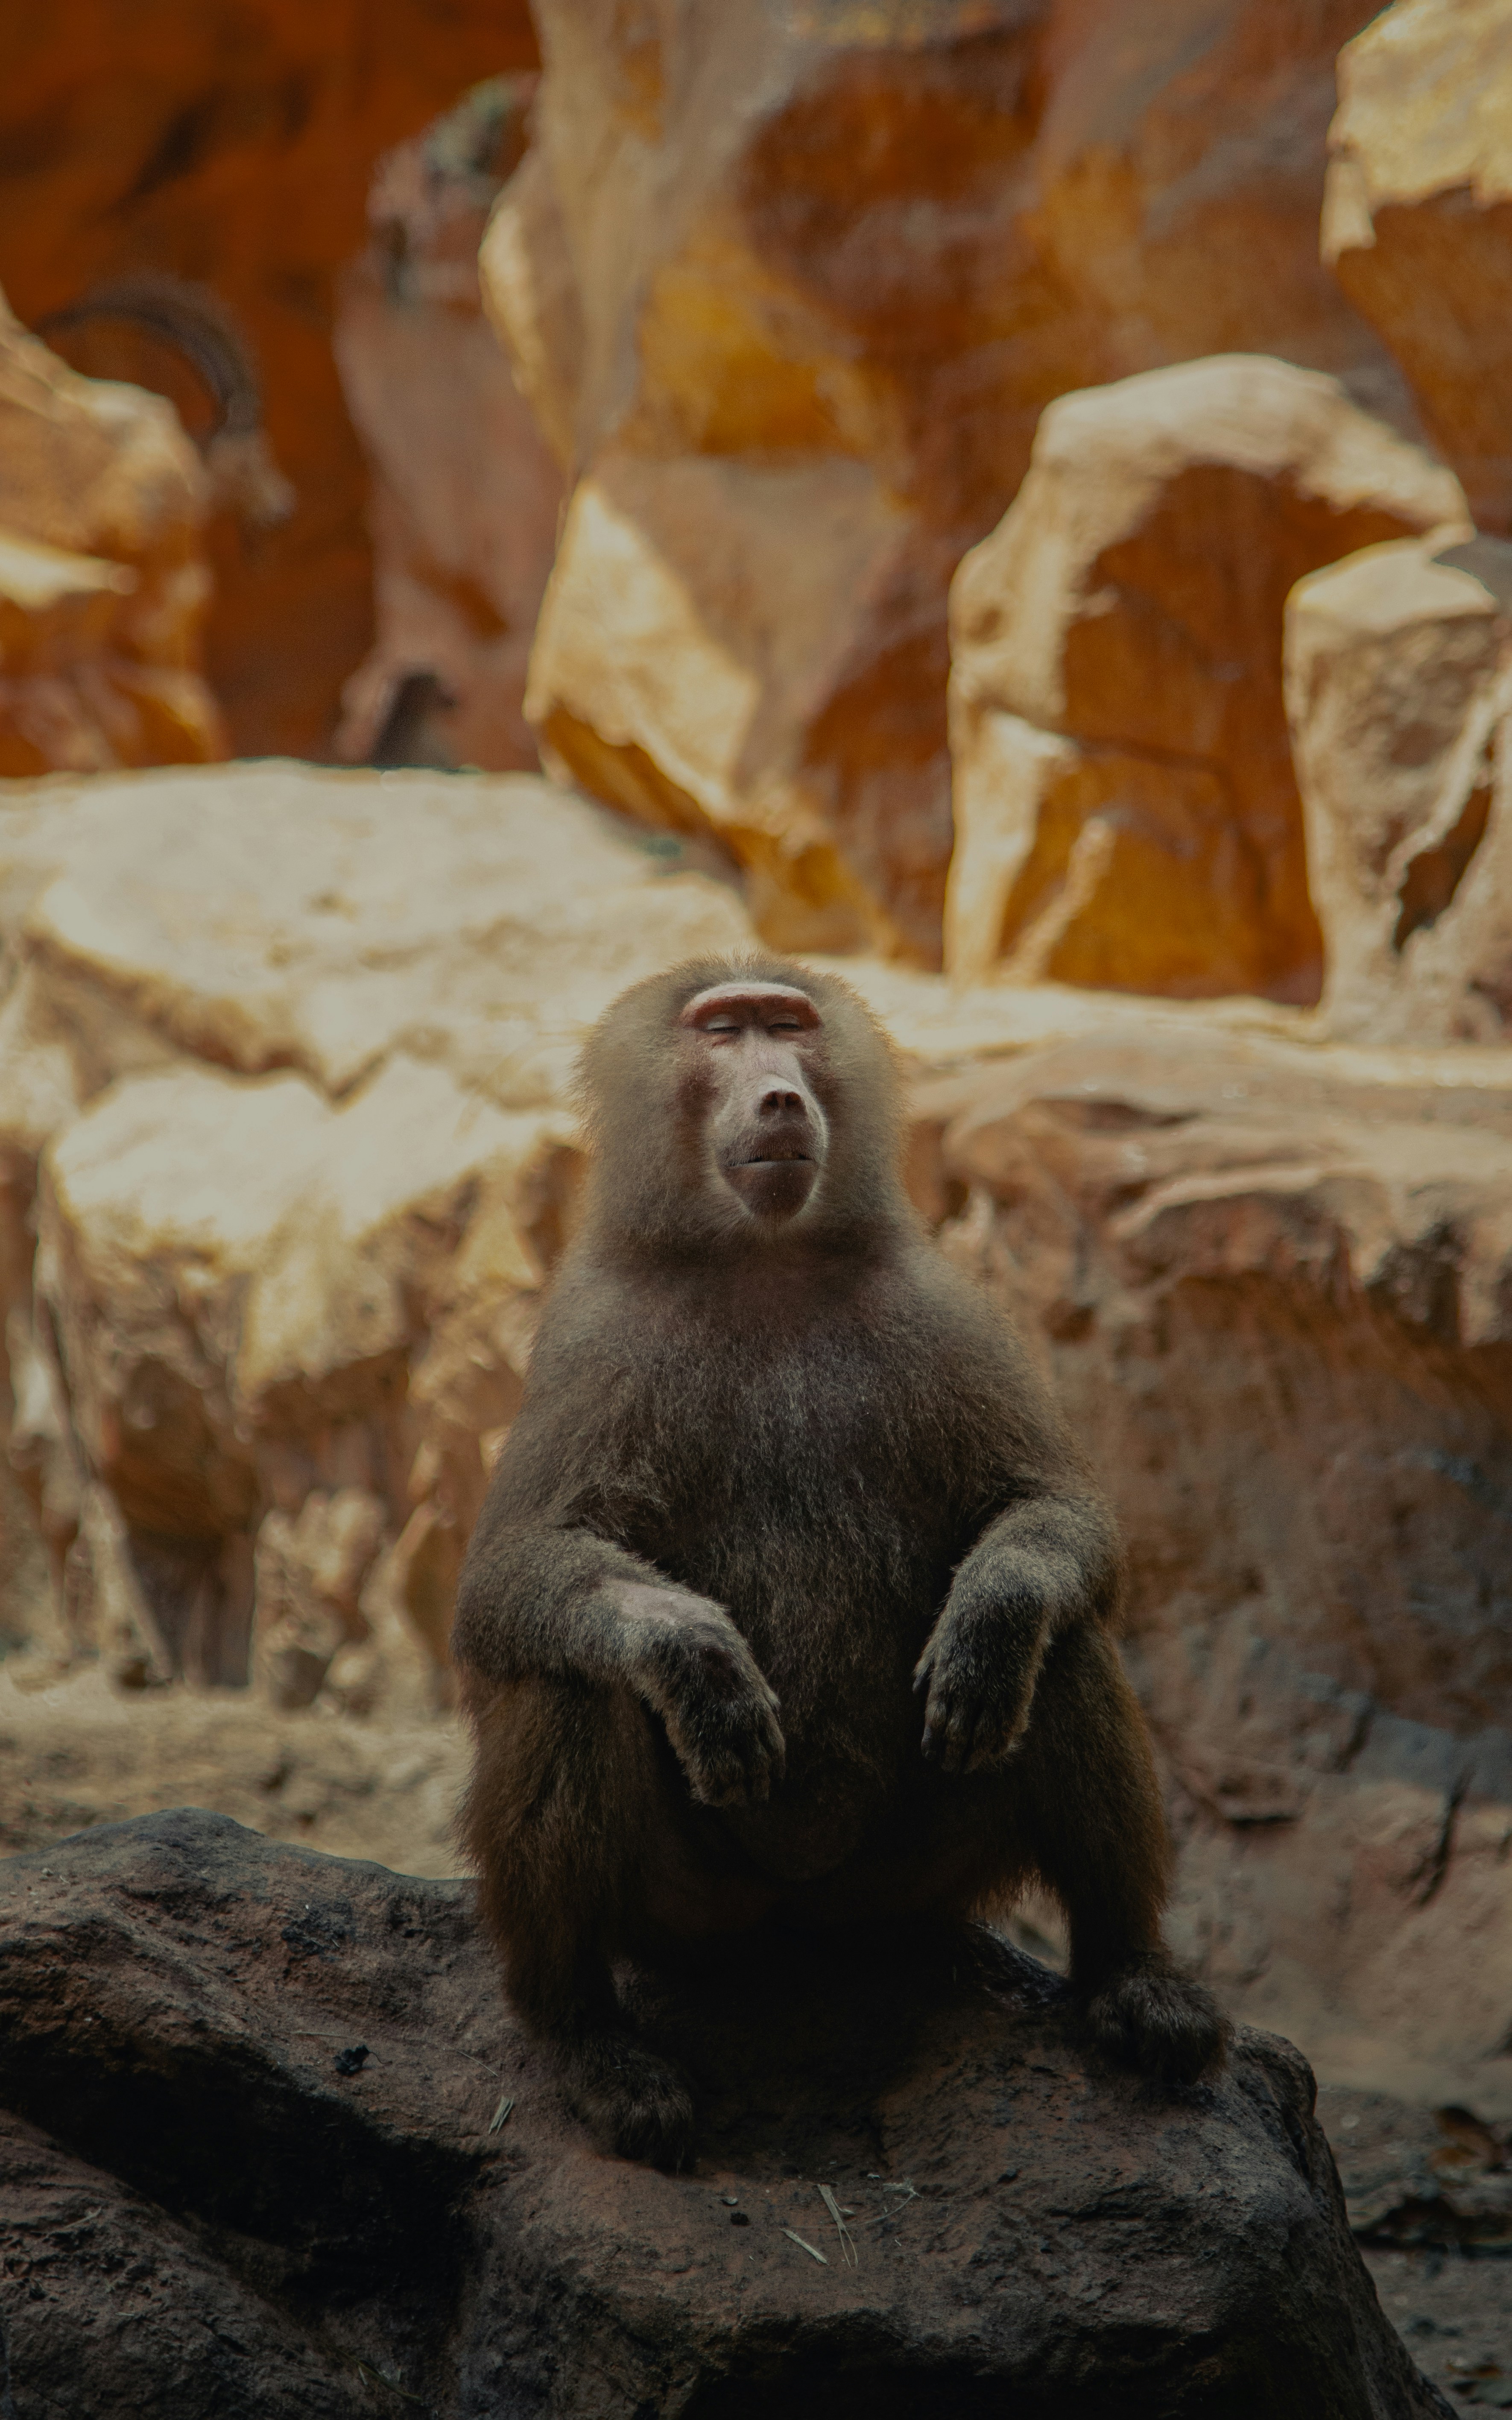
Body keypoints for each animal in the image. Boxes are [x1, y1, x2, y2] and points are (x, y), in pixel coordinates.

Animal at [453, 954, 1228, 2165]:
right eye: (722, 1033)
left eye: (789, 1025)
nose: (779, 1097)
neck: (764, 1262)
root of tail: (799, 1917)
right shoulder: (590, 1336)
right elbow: (511, 1583)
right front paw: (695, 1662)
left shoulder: (944, 1309)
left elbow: (1050, 1518)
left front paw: (989, 1621)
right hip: (689, 1910)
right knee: (572, 1676)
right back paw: (588, 2042)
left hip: (909, 1884)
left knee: (1061, 1645)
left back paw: (1130, 1979)